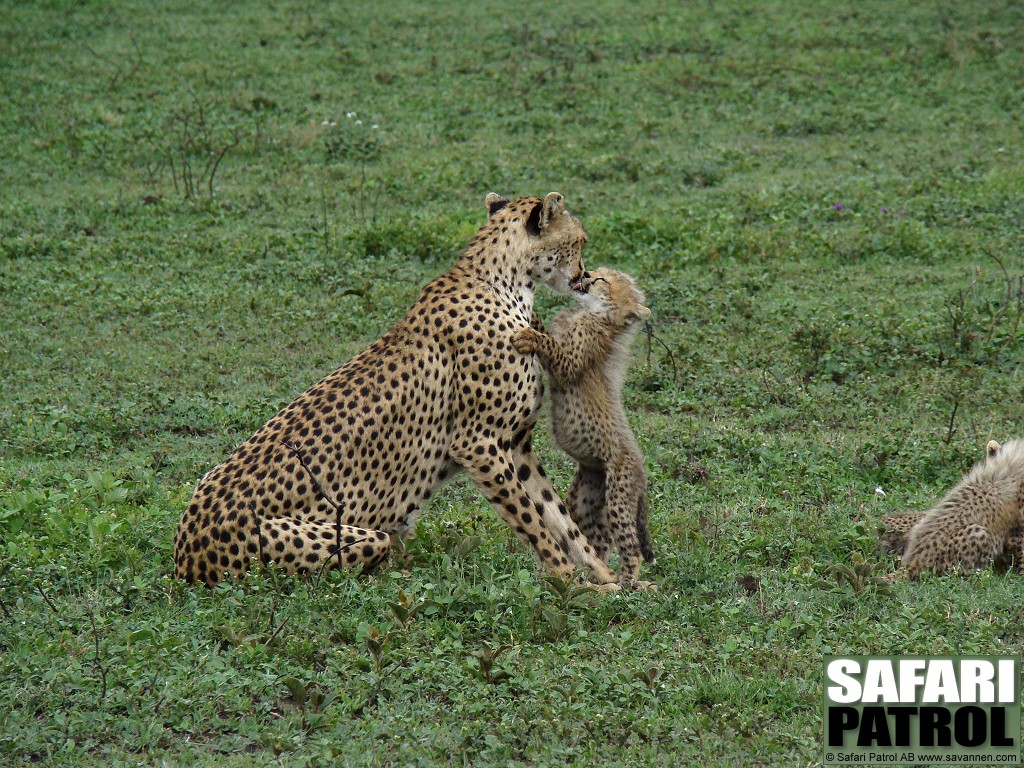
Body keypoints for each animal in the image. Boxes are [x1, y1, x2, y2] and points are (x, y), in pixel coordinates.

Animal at [174, 193, 614, 589]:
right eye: (579, 241)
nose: (584, 276)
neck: (503, 283)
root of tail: (184, 560)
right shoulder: (477, 443)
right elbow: (533, 521)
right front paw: (572, 583)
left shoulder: (516, 444)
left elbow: (560, 517)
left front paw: (610, 580)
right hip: (347, 537)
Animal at [512, 268, 655, 585]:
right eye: (598, 272)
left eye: (602, 280)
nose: (587, 273)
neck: (594, 314)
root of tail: (641, 469)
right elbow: (548, 331)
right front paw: (531, 316)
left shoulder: (569, 362)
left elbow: (551, 346)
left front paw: (531, 336)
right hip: (587, 497)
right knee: (597, 540)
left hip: (618, 498)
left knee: (632, 550)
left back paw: (628, 585)